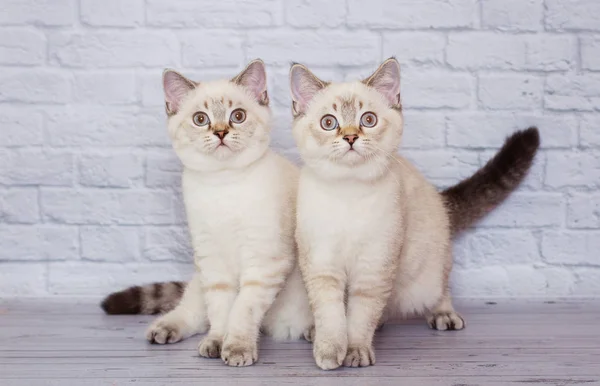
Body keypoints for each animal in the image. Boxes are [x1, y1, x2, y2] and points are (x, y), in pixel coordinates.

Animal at [110, 59, 314, 364]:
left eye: (238, 116)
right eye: (200, 119)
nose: (220, 132)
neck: (222, 183)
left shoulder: (264, 262)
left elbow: (241, 310)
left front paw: (237, 348)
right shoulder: (212, 262)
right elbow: (220, 310)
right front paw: (217, 342)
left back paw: (314, 331)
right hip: (200, 276)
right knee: (191, 311)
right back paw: (163, 330)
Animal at [290, 58, 540, 370]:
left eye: (368, 120)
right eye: (328, 123)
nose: (350, 137)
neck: (349, 191)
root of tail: (439, 198)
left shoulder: (375, 267)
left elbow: (360, 316)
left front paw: (355, 351)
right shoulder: (322, 265)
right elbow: (331, 314)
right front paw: (329, 351)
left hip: (428, 272)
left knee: (440, 289)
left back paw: (444, 315)